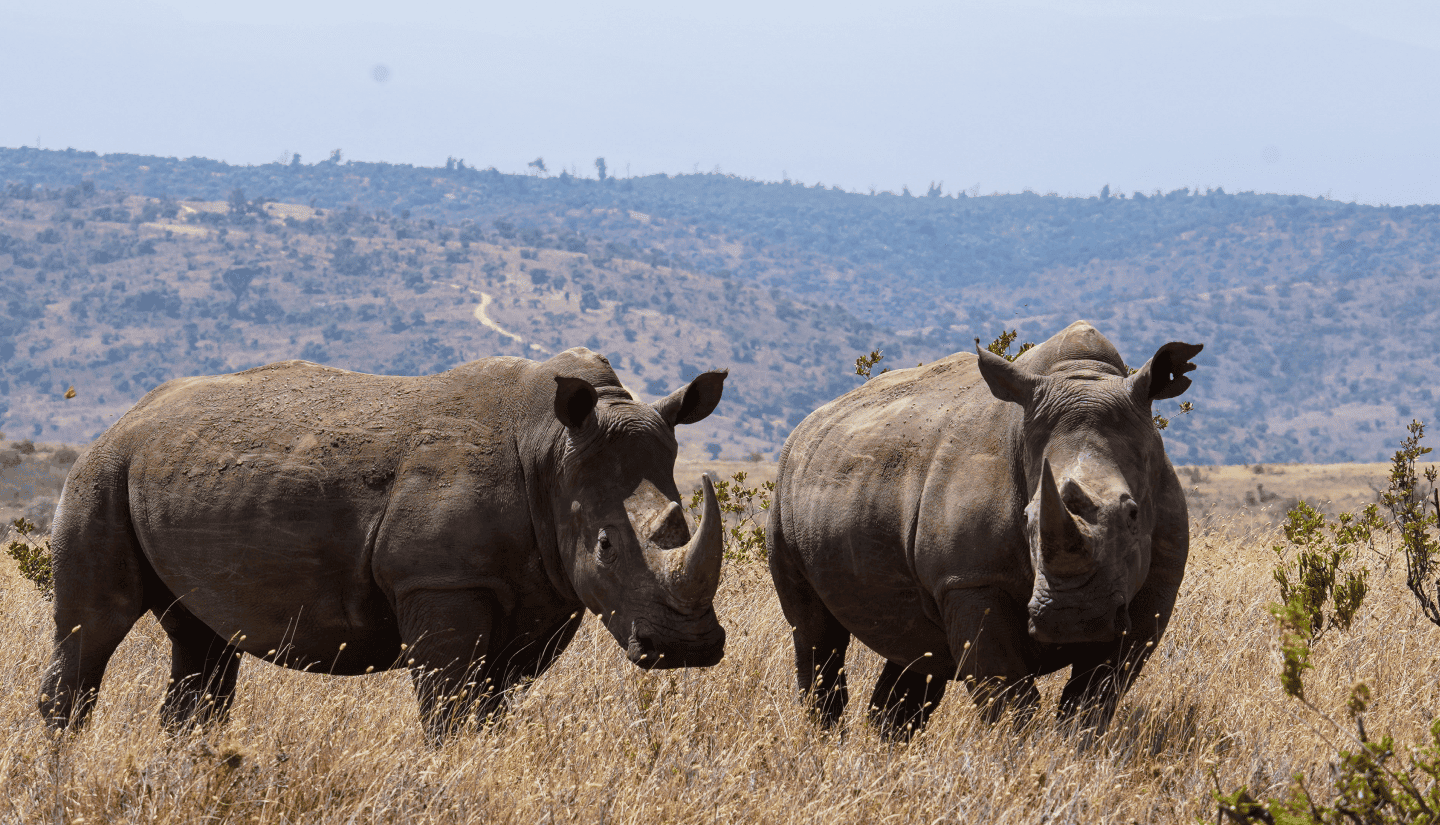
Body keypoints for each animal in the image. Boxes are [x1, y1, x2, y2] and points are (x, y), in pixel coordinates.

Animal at [39, 346, 725, 737]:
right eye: (606, 546)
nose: (685, 648)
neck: (554, 451)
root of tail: (126, 416)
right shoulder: (441, 582)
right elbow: (449, 709)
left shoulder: (544, 593)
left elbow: (491, 708)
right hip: (102, 470)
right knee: (92, 627)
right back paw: (61, 763)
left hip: (168, 473)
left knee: (202, 639)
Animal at [771, 319, 1198, 734]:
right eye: (1027, 519)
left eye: (1133, 514)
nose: (1073, 617)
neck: (1083, 376)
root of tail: (811, 421)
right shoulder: (971, 580)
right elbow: (1008, 696)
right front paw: (1017, 751)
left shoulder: (1155, 586)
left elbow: (1096, 695)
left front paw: (1073, 748)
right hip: (785, 485)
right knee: (815, 636)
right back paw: (824, 739)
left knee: (915, 652)